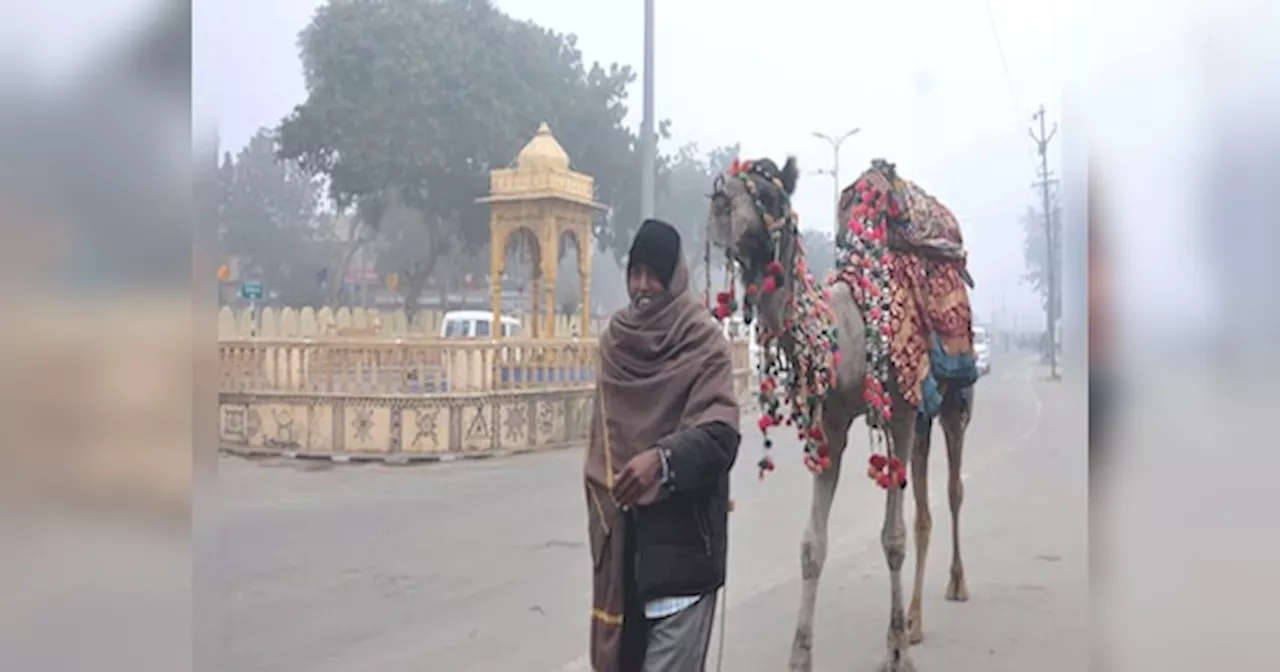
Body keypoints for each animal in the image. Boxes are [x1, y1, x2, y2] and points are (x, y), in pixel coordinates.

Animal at [706, 154, 972, 665]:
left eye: (767, 195)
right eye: (727, 183)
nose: (718, 200)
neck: (848, 333)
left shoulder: (900, 413)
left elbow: (892, 538)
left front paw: (897, 656)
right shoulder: (831, 422)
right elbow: (812, 545)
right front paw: (800, 658)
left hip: (954, 398)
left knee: (952, 490)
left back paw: (955, 587)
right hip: (924, 414)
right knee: (924, 506)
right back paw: (913, 621)